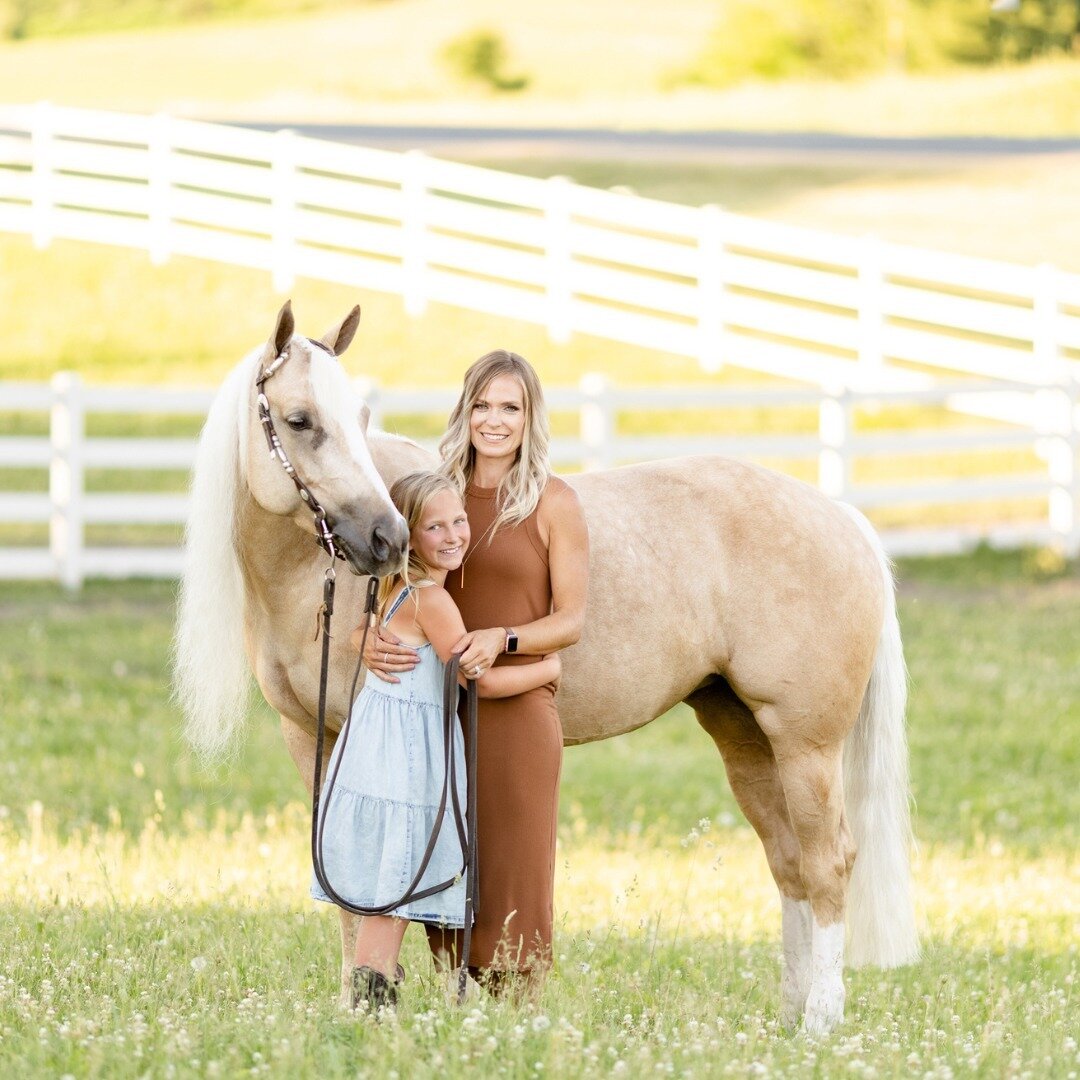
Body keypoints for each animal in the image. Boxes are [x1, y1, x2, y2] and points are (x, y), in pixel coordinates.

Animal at [172, 306, 915, 1036]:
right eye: (300, 420)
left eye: (357, 416)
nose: (387, 539)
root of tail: (843, 517)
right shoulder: (310, 736)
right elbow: (342, 878)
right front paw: (359, 1002)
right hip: (746, 737)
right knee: (789, 862)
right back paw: (790, 1014)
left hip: (806, 745)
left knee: (826, 863)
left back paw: (820, 1017)